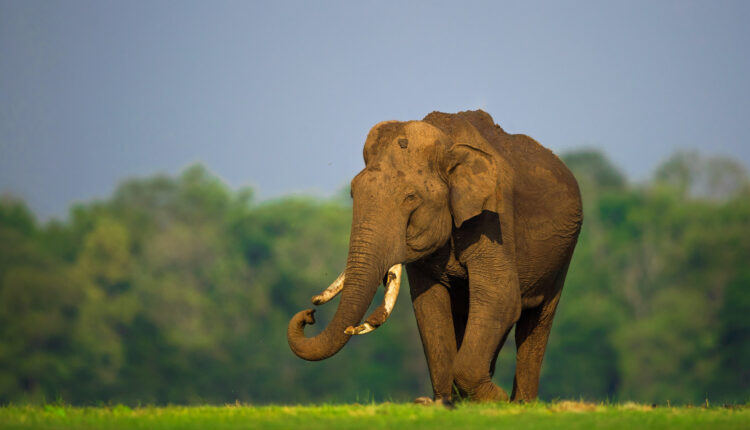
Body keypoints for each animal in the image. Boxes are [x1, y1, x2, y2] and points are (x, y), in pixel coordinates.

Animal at [288, 110, 583, 404]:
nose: (310, 314)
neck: (447, 144)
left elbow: (502, 296)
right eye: (352, 192)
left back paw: (521, 402)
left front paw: (495, 399)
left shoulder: (494, 217)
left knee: (536, 319)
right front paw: (443, 403)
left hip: (564, 252)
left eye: (410, 197)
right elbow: (429, 305)